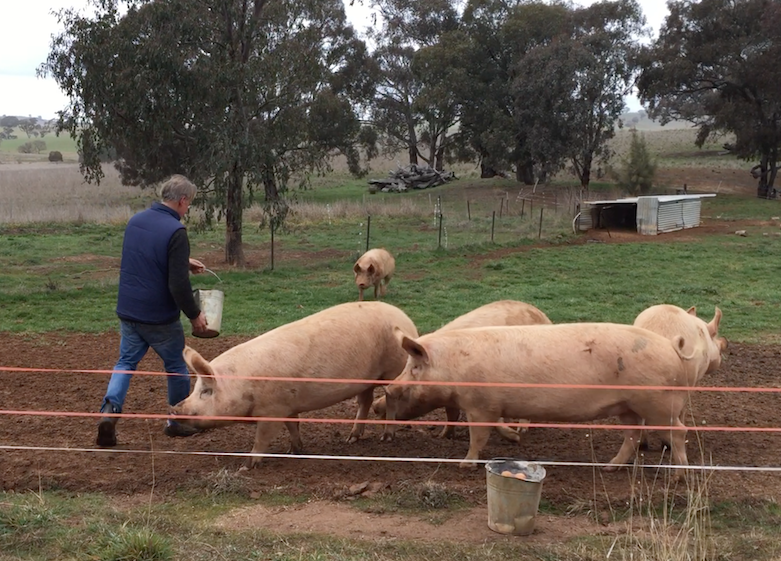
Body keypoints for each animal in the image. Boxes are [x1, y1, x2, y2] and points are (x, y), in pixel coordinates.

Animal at [168, 302, 418, 468]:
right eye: (196, 389)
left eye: (206, 391)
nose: (174, 409)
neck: (243, 386)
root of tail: (405, 318)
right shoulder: (288, 405)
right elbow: (293, 425)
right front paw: (295, 451)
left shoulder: (272, 410)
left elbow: (262, 437)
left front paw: (246, 465)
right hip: (366, 379)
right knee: (365, 400)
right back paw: (351, 438)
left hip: (394, 368)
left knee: (391, 396)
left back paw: (387, 436)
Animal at [384, 322, 696, 470]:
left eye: (414, 368)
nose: (389, 387)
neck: (453, 367)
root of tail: (671, 346)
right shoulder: (492, 405)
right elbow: (496, 427)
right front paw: (515, 438)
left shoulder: (479, 405)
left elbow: (478, 437)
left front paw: (464, 464)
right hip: (628, 406)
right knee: (632, 435)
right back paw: (609, 468)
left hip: (658, 403)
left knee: (679, 432)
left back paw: (679, 474)